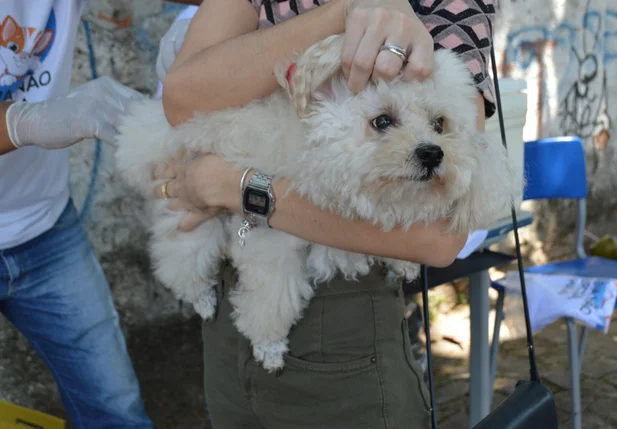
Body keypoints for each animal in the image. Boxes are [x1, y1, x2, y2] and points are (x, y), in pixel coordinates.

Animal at [114, 34, 516, 372]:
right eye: (382, 121)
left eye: (439, 124)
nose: (432, 154)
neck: (314, 151)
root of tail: (146, 134)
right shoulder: (272, 244)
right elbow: (272, 299)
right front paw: (269, 349)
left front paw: (402, 262)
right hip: (190, 218)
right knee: (179, 262)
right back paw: (202, 300)